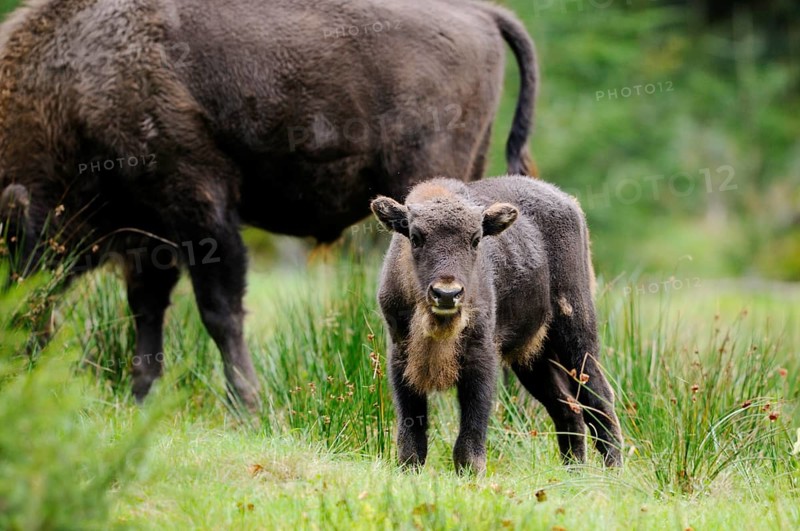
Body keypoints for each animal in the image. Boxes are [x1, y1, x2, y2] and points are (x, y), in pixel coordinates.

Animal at [0, 0, 537, 409]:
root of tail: (482, 12)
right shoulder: (150, 236)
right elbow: (148, 313)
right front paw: (141, 399)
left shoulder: (201, 210)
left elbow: (219, 312)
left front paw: (248, 407)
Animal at [371, 176, 623, 473]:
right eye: (415, 237)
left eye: (475, 239)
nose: (447, 293)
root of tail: (570, 204)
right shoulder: (400, 352)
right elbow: (412, 428)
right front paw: (409, 470)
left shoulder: (481, 355)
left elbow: (472, 427)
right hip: (534, 360)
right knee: (567, 409)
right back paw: (574, 472)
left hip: (576, 330)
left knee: (598, 396)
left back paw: (613, 470)